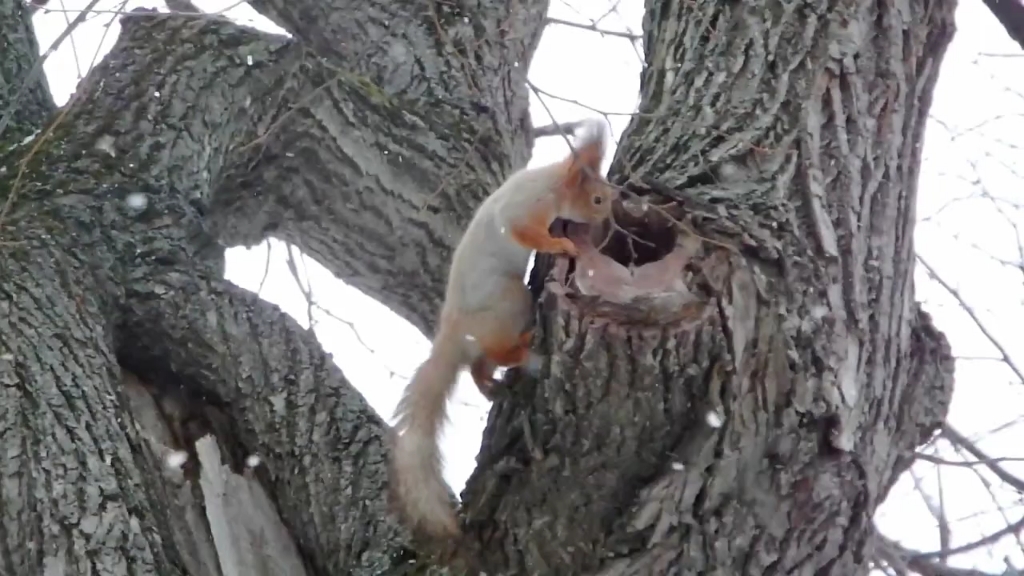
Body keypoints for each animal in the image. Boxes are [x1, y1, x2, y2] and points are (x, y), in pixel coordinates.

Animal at [389, 119, 614, 537]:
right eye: (596, 200)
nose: (609, 222)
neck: (551, 183)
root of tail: (453, 331)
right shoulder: (525, 211)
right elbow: (528, 233)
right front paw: (562, 244)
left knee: (479, 365)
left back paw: (490, 385)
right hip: (512, 302)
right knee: (495, 352)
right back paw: (525, 345)